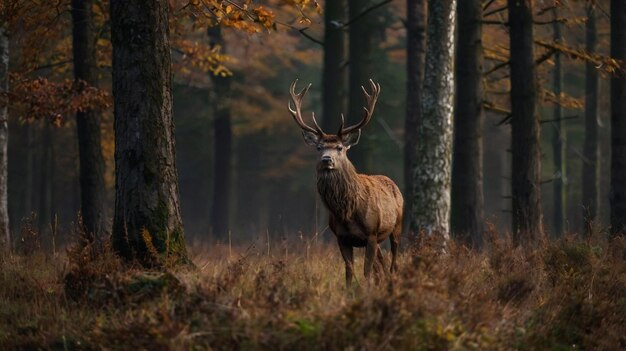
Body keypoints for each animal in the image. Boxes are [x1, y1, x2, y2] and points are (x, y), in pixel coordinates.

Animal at [288, 78, 402, 288]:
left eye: (340, 147)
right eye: (319, 147)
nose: (327, 159)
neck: (347, 212)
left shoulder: (371, 234)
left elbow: (366, 272)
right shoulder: (342, 238)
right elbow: (349, 272)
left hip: (396, 225)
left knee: (393, 262)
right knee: (381, 265)